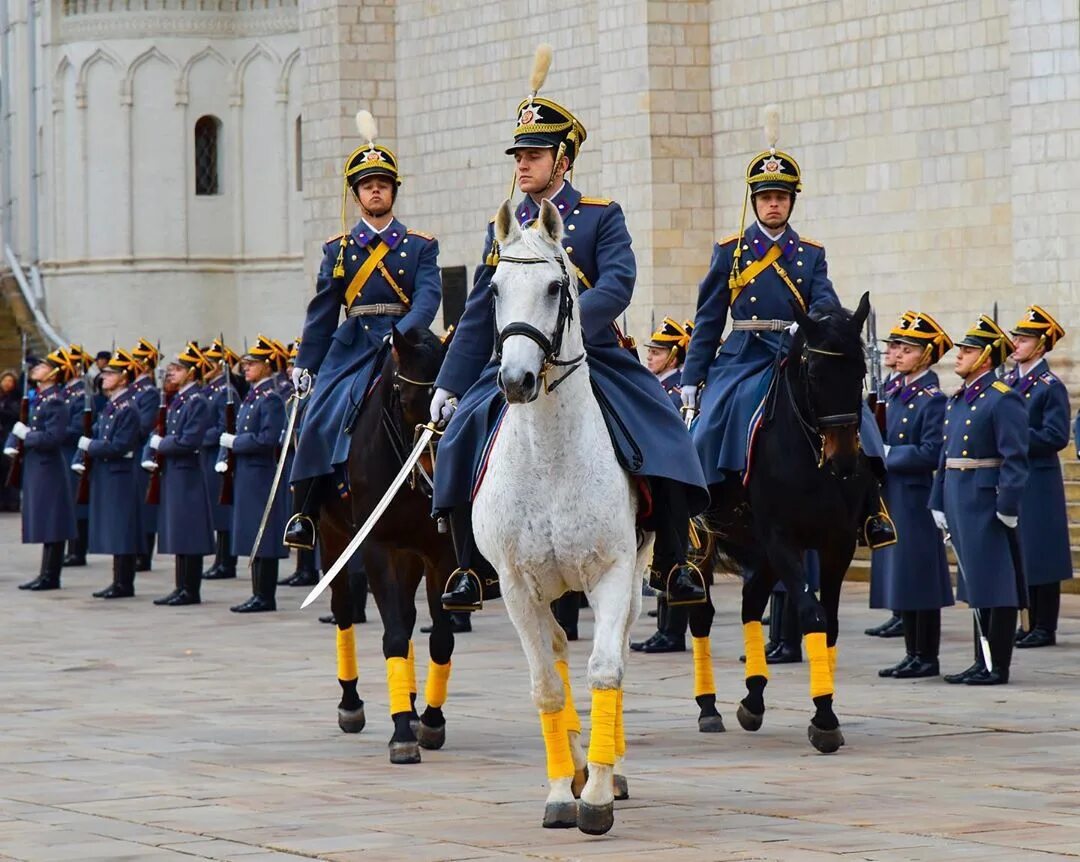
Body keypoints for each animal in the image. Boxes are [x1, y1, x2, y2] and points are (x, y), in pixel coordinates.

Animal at [315, 328, 460, 764]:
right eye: (403, 396)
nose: (433, 483)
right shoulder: (376, 547)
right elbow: (393, 636)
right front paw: (401, 734)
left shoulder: (439, 554)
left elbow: (439, 639)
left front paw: (429, 720)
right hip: (334, 538)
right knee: (344, 610)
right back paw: (351, 703)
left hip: (409, 555)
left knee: (408, 616)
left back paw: (410, 706)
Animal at [473, 197, 648, 838]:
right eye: (493, 289)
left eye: (556, 286)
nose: (516, 380)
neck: (549, 456)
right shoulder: (515, 585)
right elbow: (547, 686)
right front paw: (560, 791)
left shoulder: (613, 572)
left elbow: (606, 669)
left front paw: (595, 793)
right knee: (554, 648)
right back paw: (573, 762)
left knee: (617, 650)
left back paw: (608, 768)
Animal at [695, 293, 872, 751]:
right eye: (813, 373)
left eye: (861, 372)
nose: (845, 462)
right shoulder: (782, 539)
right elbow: (812, 615)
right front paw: (824, 718)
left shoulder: (838, 544)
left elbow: (830, 622)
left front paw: (825, 710)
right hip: (701, 546)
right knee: (701, 613)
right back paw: (708, 707)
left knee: (750, 602)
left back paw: (753, 698)